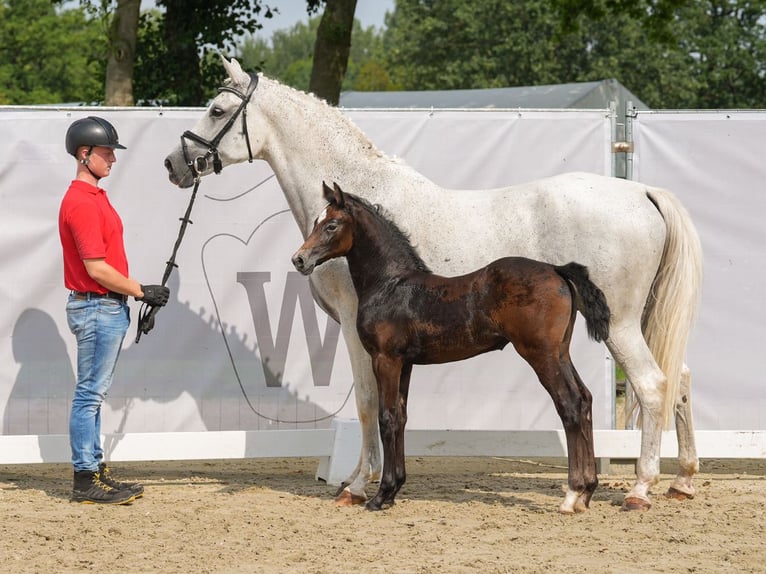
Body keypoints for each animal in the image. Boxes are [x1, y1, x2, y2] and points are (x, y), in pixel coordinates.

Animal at [165, 58, 704, 512]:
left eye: (217, 110)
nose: (174, 164)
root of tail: (641, 191)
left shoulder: (357, 334)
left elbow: (369, 405)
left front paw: (358, 486)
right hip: (634, 323)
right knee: (678, 378)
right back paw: (682, 480)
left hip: (619, 326)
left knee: (651, 386)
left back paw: (639, 489)